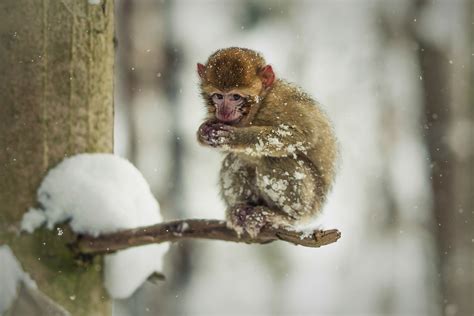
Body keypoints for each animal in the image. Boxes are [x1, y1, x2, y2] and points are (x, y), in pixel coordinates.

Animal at [196, 47, 336, 237]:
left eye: (235, 97)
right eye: (218, 96)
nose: (224, 112)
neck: (256, 109)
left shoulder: (280, 104)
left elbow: (303, 135)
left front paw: (236, 137)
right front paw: (203, 132)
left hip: (310, 203)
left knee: (276, 161)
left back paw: (283, 216)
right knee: (236, 160)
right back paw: (240, 210)